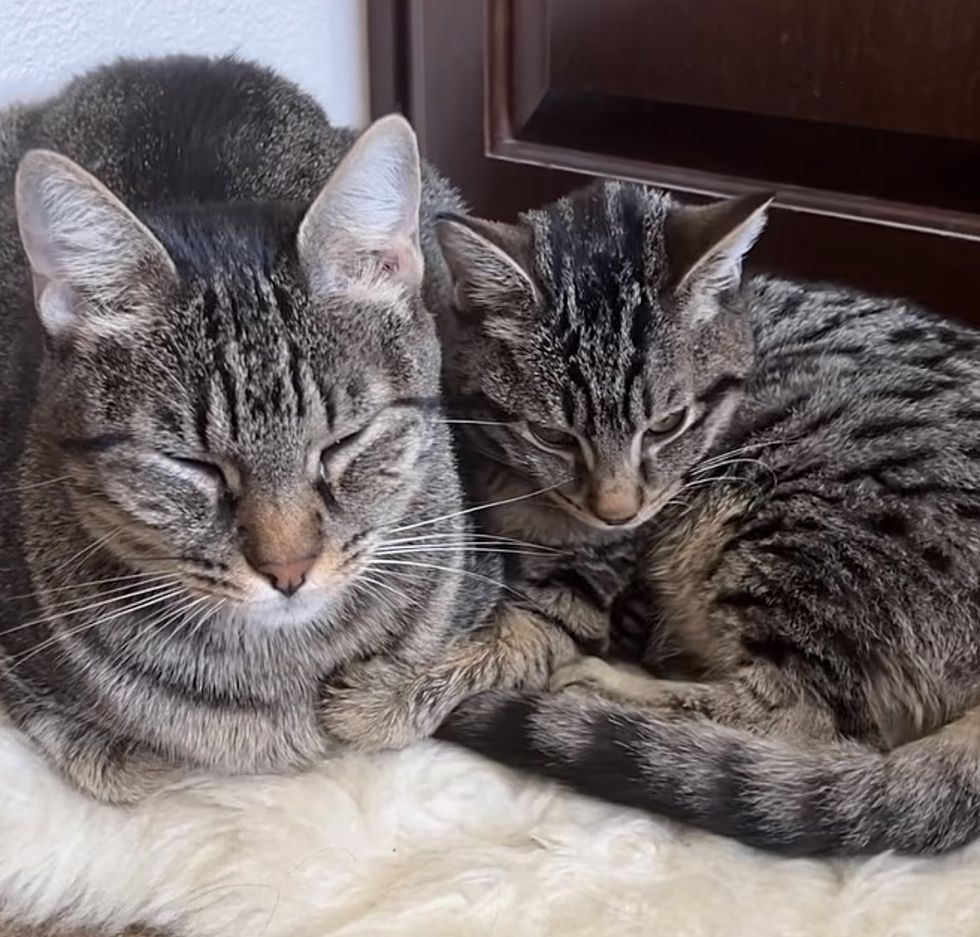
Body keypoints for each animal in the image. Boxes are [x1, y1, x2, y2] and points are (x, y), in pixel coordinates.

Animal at [0, 56, 568, 804]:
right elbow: (127, 760)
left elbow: (455, 671)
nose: (289, 570)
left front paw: (372, 698)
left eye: (344, 441)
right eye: (191, 464)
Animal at [436, 181, 980, 856]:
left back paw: (601, 685)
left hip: (789, 517)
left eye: (667, 425)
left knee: (800, 716)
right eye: (551, 435)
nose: (617, 511)